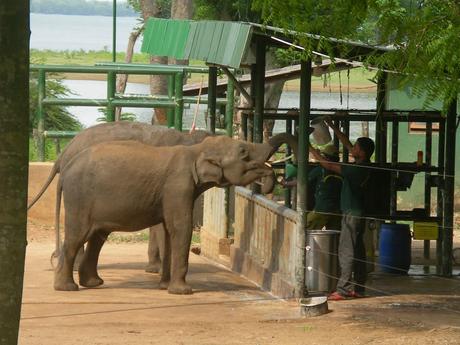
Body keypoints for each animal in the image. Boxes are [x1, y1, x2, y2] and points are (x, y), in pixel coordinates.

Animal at [54, 134, 276, 292]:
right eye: (243, 151)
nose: (268, 183)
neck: (197, 149)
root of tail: (65, 169)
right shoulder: (178, 186)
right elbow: (181, 227)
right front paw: (183, 291)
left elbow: (168, 231)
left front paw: (164, 287)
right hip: (79, 198)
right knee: (77, 237)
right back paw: (67, 288)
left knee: (97, 236)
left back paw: (93, 283)